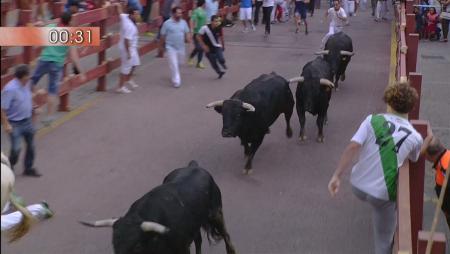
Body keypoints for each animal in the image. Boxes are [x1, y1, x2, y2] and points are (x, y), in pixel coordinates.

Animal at [79, 161, 237, 254]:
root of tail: (194, 166)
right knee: (198, 240)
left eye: (137, 246)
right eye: (114, 243)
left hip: (216, 214)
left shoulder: (182, 248)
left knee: (226, 236)